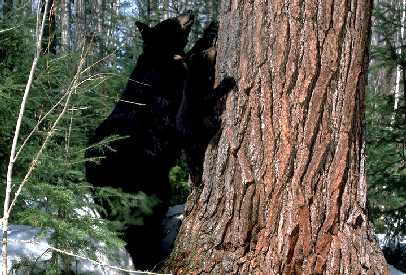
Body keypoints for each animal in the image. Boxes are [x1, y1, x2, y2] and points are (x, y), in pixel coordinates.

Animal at [85, 12, 194, 270]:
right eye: (171, 21)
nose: (190, 14)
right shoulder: (164, 96)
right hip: (142, 186)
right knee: (141, 227)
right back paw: (152, 259)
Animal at [176, 21, 236, 185]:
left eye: (204, 49)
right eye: (204, 54)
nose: (214, 48)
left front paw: (212, 29)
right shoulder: (195, 93)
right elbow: (207, 99)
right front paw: (227, 82)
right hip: (195, 130)